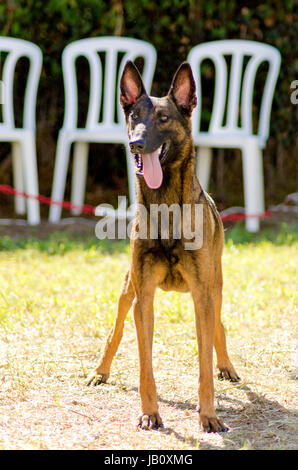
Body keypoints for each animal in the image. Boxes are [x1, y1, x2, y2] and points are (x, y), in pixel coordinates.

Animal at [86, 60, 240, 432]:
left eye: (164, 118)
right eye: (134, 115)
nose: (137, 144)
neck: (164, 205)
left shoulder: (203, 297)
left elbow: (204, 366)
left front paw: (209, 415)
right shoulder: (144, 299)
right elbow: (145, 365)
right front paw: (150, 412)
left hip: (215, 286)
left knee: (219, 325)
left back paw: (226, 365)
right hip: (128, 287)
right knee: (115, 329)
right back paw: (100, 371)